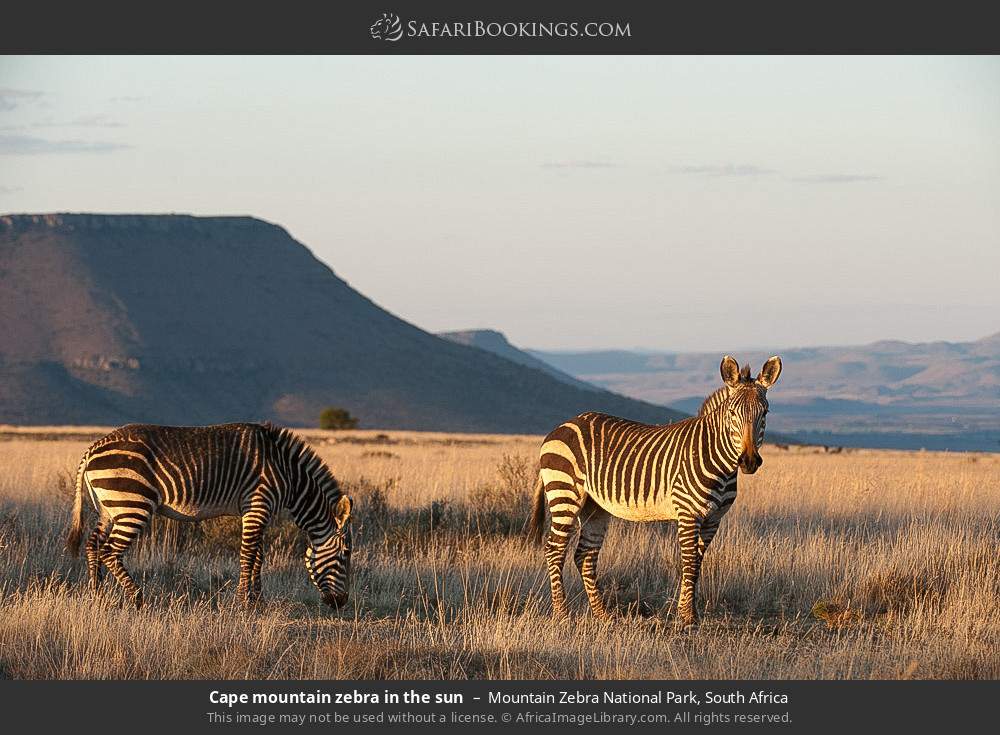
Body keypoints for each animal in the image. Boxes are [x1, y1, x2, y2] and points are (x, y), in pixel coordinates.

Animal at [65, 422, 354, 609]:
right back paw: (137, 598)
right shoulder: (258, 503)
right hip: (131, 505)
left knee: (93, 544)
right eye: (345, 554)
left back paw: (97, 594)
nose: (341, 603)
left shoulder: (255, 510)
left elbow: (259, 556)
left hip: (109, 508)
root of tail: (93, 448)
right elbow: (248, 555)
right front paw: (243, 603)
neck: (287, 473)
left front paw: (258, 601)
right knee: (109, 550)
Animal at [528, 355, 782, 629]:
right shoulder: (688, 513)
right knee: (555, 549)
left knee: (585, 555)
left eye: (764, 413)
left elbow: (697, 564)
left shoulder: (714, 519)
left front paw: (689, 612)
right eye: (733, 413)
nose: (749, 461)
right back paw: (562, 615)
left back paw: (603, 614)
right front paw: (687, 617)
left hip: (594, 507)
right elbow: (689, 562)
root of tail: (561, 426)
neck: (719, 462)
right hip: (565, 493)